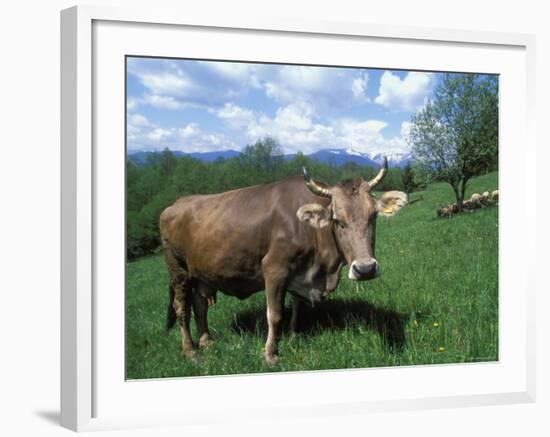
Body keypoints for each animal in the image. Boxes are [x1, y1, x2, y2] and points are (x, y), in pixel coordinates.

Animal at [160, 158, 410, 364]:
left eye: (373, 215)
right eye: (338, 220)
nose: (365, 269)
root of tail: (175, 204)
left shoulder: (300, 273)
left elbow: (297, 305)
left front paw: (292, 335)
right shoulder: (274, 269)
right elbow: (274, 313)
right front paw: (270, 353)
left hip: (202, 273)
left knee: (200, 304)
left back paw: (207, 342)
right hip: (178, 270)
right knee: (182, 308)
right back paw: (190, 351)